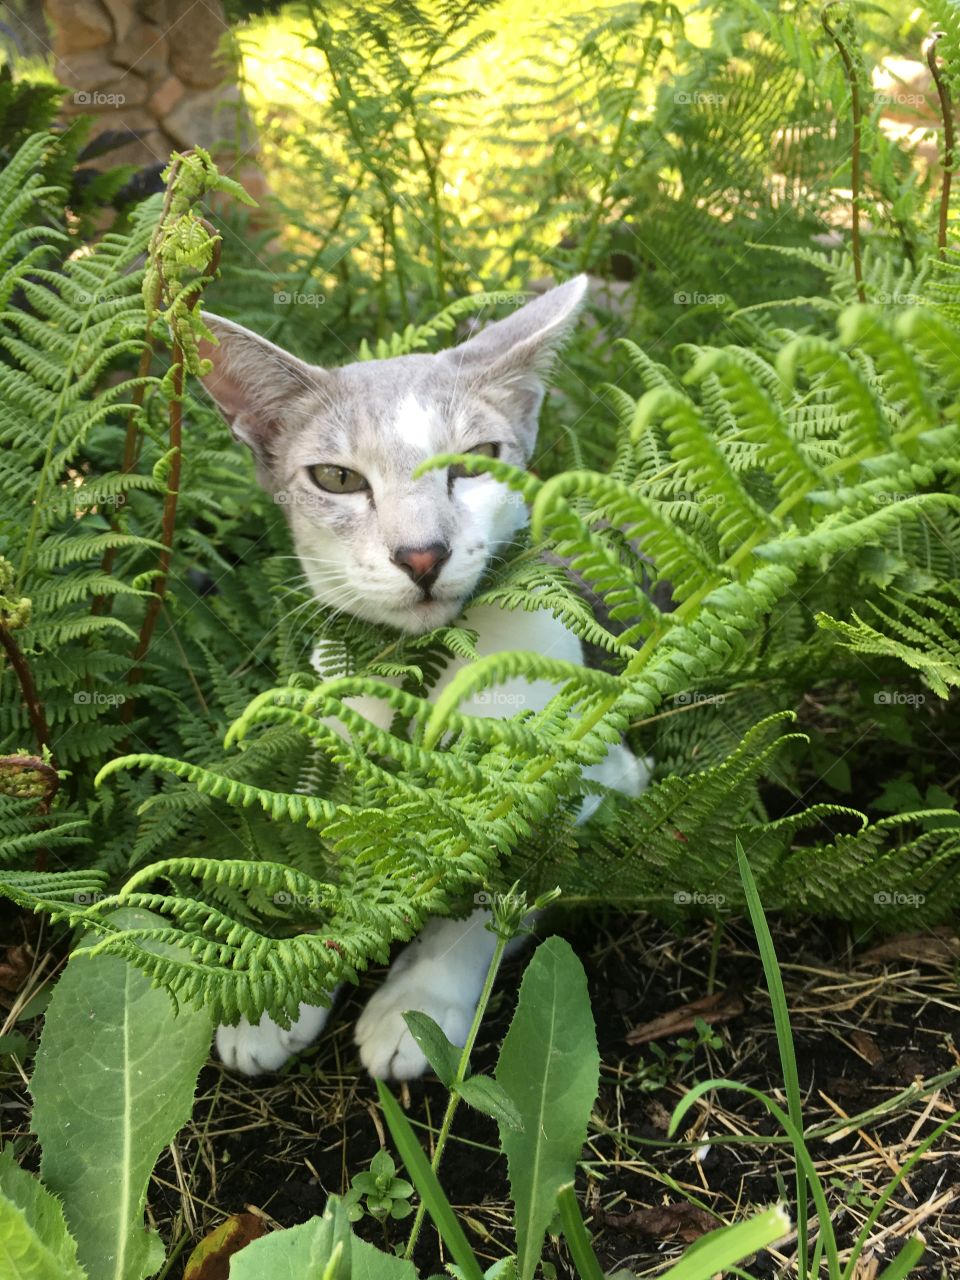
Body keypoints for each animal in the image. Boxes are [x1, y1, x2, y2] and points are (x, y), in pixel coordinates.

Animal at [195, 277, 650, 1080]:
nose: (421, 553)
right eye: (337, 478)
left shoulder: (590, 777)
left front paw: (419, 1002)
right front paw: (289, 982)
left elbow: (494, 893)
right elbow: (333, 851)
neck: (424, 678)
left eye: (478, 459)